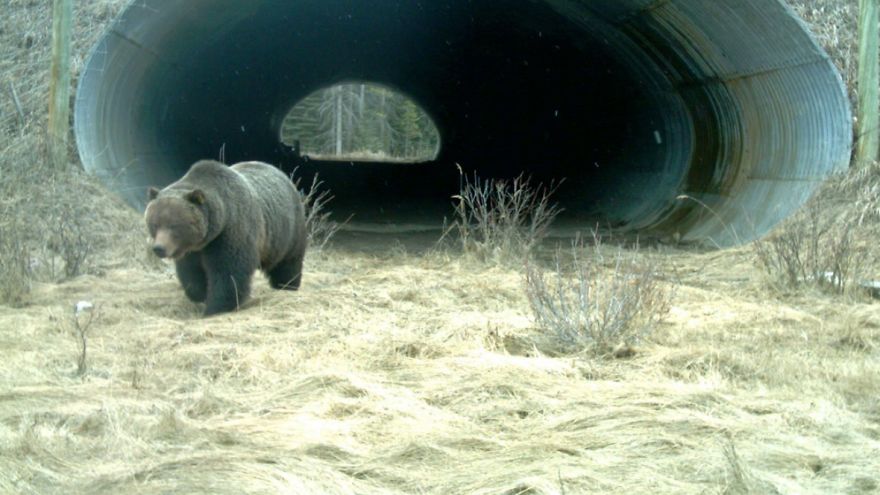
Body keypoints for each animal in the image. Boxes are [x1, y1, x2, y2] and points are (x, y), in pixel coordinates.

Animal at [145, 159, 307, 316]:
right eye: (154, 224)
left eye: (174, 225)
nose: (159, 248)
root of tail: (281, 173)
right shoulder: (191, 250)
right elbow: (191, 273)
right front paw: (200, 294)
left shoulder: (230, 234)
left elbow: (228, 273)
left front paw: (216, 307)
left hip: (287, 231)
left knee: (288, 262)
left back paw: (287, 285)